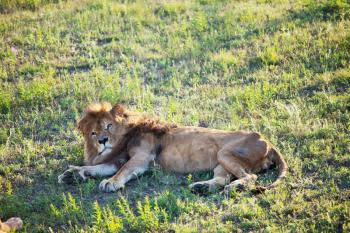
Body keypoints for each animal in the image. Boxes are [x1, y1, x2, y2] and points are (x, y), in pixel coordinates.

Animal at [58, 103, 288, 194]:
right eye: (93, 133)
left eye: (108, 126)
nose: (103, 141)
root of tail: (268, 142)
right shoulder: (116, 158)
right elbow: (97, 168)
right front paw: (73, 173)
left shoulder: (143, 157)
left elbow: (123, 171)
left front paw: (111, 183)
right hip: (221, 161)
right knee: (223, 179)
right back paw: (201, 187)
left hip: (225, 153)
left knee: (251, 178)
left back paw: (234, 188)